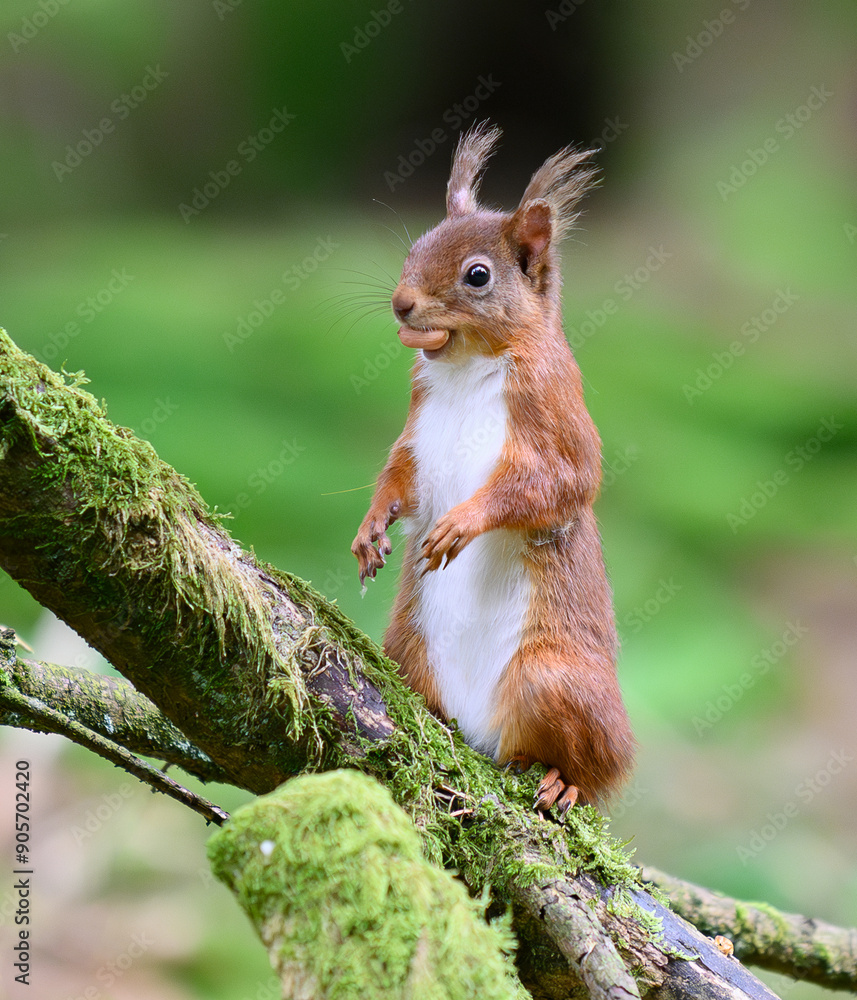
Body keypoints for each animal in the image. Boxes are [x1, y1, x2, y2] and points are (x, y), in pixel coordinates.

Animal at [352, 122, 634, 812]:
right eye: (414, 248)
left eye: (477, 276)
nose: (401, 303)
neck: (466, 367)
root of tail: (484, 730)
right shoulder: (418, 431)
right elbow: (399, 479)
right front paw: (371, 527)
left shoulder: (554, 412)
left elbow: (558, 484)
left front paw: (462, 523)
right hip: (409, 646)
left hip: (552, 676)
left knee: (598, 767)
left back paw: (564, 780)